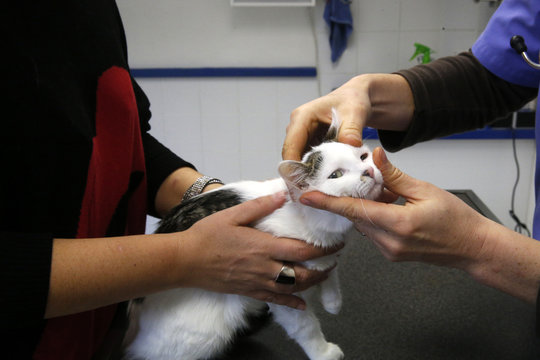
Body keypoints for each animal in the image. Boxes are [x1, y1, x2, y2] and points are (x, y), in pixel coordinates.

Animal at [123, 109, 384, 360]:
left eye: (363, 157)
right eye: (336, 175)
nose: (369, 170)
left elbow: (328, 268)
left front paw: (332, 300)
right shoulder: (282, 293)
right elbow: (305, 327)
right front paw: (323, 352)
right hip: (205, 333)